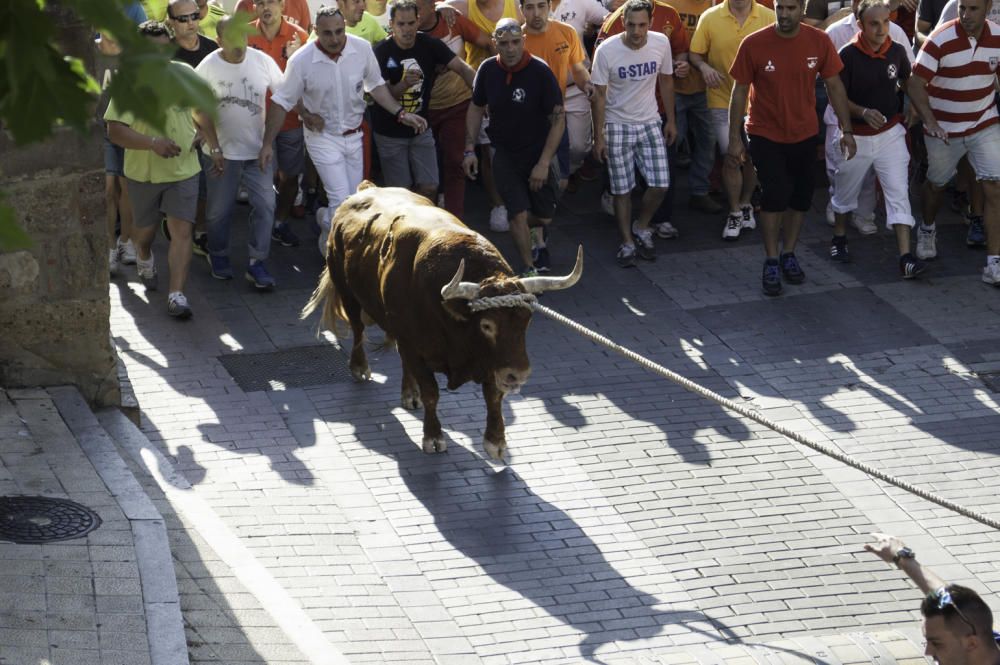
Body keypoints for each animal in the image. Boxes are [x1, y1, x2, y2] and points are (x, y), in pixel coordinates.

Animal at [298, 183, 580, 462]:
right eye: (487, 325)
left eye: (526, 321)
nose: (518, 374)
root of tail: (365, 189)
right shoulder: (420, 349)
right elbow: (431, 393)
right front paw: (433, 437)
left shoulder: (490, 360)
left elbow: (493, 396)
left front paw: (495, 442)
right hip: (348, 292)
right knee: (358, 330)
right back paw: (360, 368)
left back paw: (409, 394)